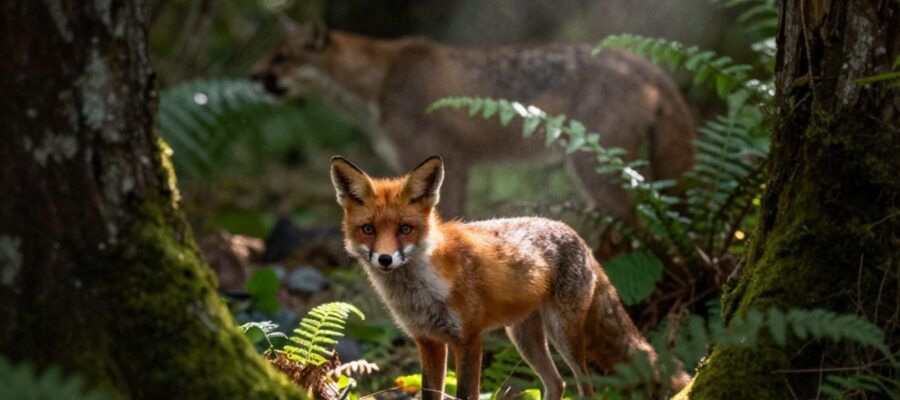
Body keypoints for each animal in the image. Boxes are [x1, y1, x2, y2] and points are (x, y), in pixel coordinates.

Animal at [254, 21, 696, 222]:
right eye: (269, 55)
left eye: (281, 59)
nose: (253, 76)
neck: (382, 82)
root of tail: (641, 61)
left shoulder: (449, 160)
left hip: (594, 174)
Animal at [330, 155, 690, 400]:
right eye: (368, 230)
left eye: (405, 229)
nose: (385, 259)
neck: (420, 294)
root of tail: (576, 234)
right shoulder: (428, 341)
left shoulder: (468, 339)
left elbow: (466, 395)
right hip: (523, 336)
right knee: (556, 382)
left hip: (563, 333)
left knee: (585, 386)